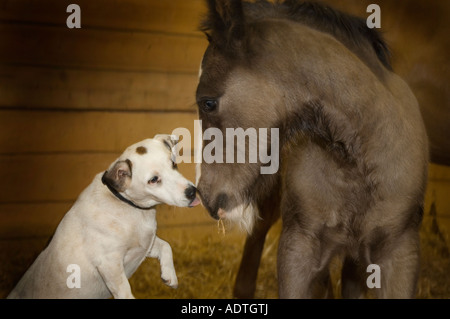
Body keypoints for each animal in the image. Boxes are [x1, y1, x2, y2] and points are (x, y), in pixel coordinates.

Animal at [7, 135, 199, 300]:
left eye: (173, 164)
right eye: (153, 179)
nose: (192, 192)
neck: (127, 205)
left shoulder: (144, 243)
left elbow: (166, 246)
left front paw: (169, 275)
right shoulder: (109, 262)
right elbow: (124, 290)